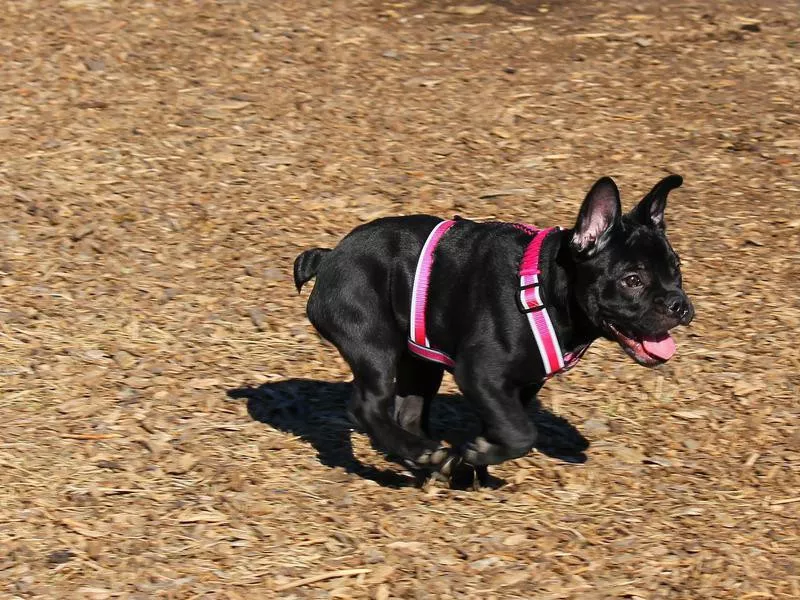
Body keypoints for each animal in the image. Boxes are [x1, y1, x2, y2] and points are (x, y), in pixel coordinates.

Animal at [294, 175, 692, 482]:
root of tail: (328, 257)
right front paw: (480, 454)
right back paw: (422, 453)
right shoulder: (479, 374)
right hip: (373, 343)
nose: (681, 305)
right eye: (632, 280)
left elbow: (503, 421)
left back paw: (431, 461)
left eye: (677, 269)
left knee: (405, 412)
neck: (548, 287)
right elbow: (521, 432)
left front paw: (475, 463)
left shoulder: (518, 386)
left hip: (421, 360)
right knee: (367, 407)